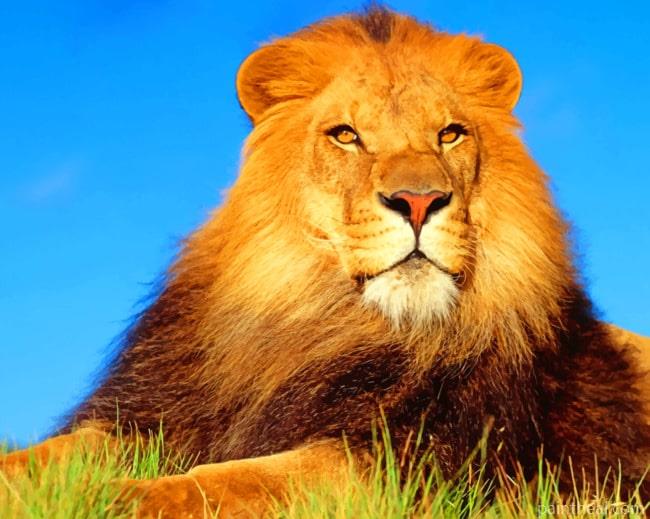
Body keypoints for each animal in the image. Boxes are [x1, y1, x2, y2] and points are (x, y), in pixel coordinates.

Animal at [2, 7, 650, 517]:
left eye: (450, 134)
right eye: (345, 135)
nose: (419, 201)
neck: (324, 323)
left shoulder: (412, 463)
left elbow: (230, 484)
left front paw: (113, 498)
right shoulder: (158, 415)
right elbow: (58, 454)